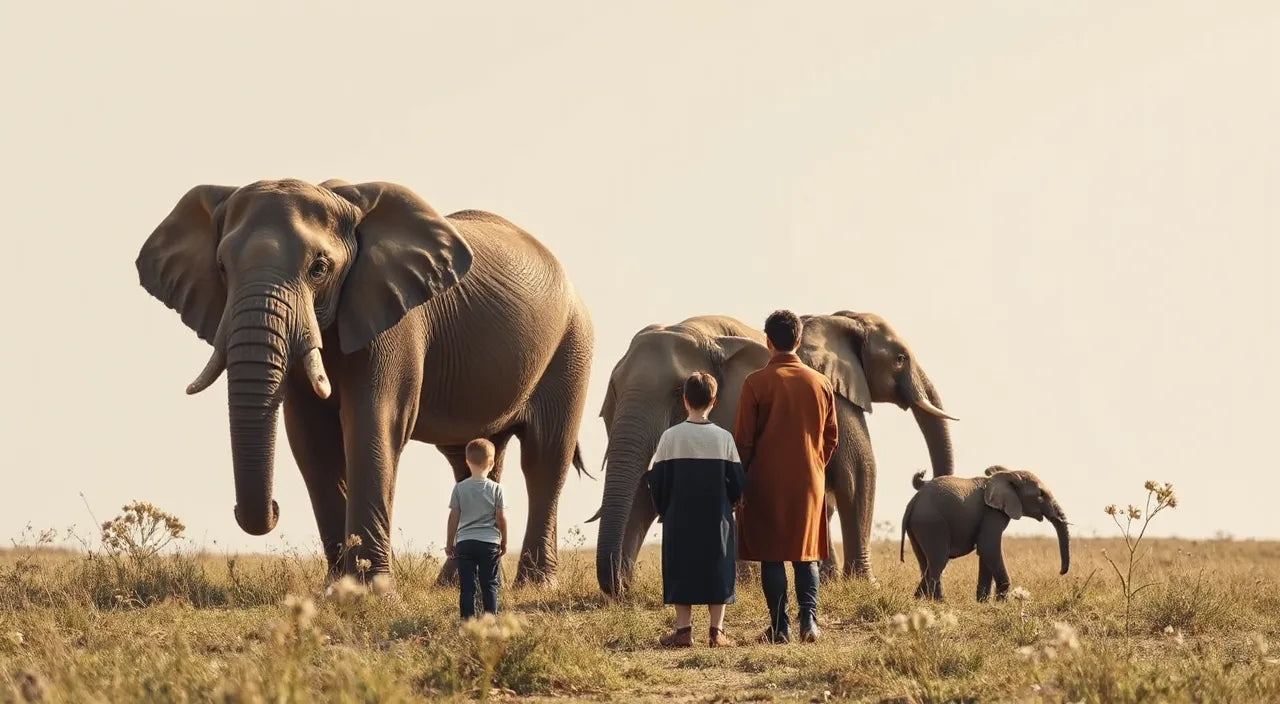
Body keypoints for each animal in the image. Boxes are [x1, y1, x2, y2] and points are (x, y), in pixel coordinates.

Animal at [135, 178, 593, 586]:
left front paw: (371, 589)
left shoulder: (397, 323)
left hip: (572, 347)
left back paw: (535, 585)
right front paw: (340, 587)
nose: (274, 508)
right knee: (470, 459)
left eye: (318, 268)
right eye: (221, 268)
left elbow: (374, 422)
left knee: (544, 458)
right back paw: (451, 584)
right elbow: (311, 438)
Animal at [900, 466, 1070, 602]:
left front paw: (983, 602)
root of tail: (913, 501)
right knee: (938, 561)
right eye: (1040, 494)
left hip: (918, 526)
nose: (1061, 572)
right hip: (932, 523)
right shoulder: (992, 513)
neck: (1009, 473)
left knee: (925, 564)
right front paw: (1002, 604)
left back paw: (918, 600)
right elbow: (989, 548)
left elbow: (985, 553)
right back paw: (939, 602)